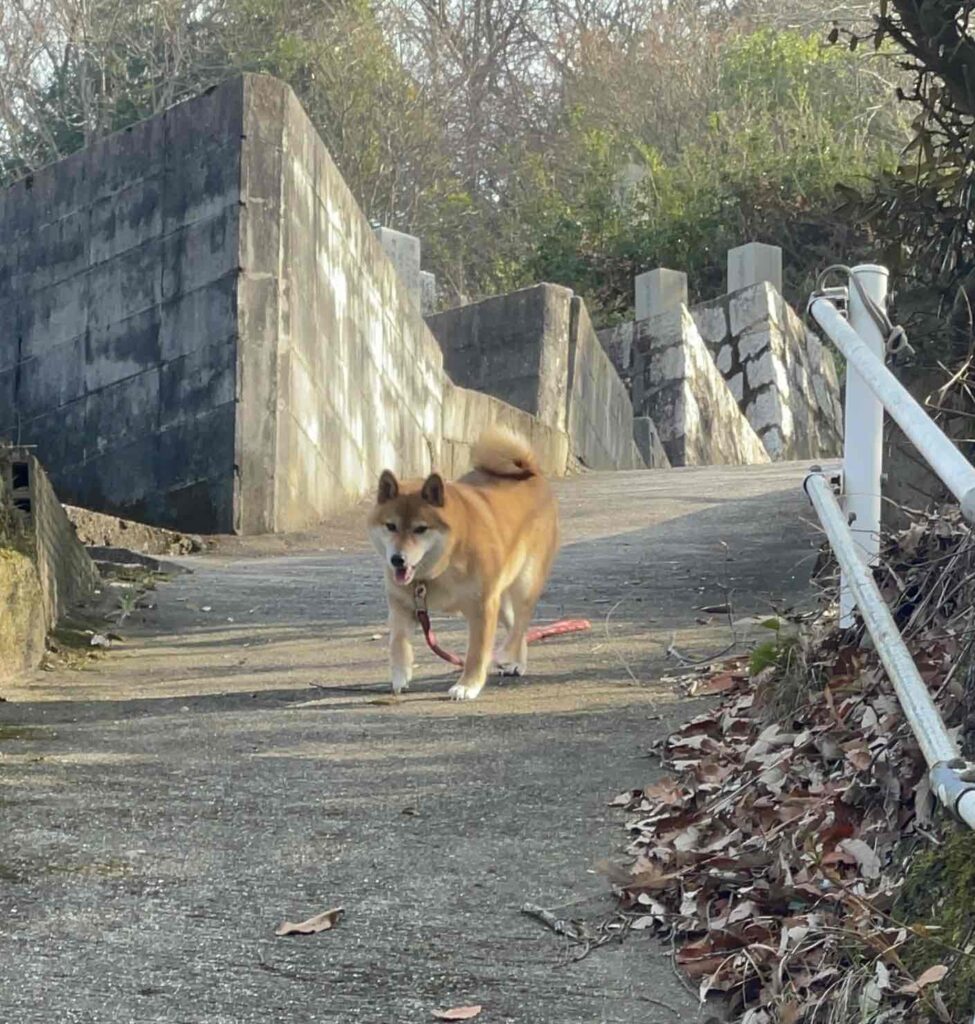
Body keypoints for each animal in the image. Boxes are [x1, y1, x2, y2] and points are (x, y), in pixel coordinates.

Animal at [368, 427, 560, 700]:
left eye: (420, 529)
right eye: (391, 526)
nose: (397, 559)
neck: (442, 565)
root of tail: (532, 472)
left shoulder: (482, 607)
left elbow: (477, 653)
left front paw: (468, 685)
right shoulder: (402, 604)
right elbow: (398, 643)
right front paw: (399, 676)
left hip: (524, 583)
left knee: (520, 625)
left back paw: (507, 655)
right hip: (500, 595)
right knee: (515, 625)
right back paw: (516, 662)